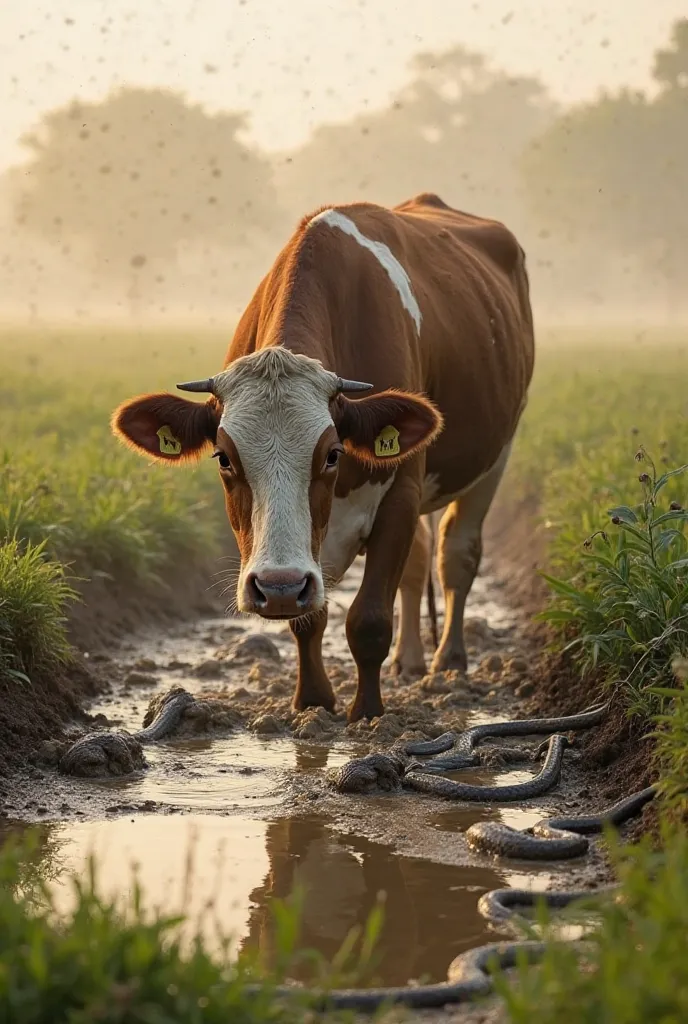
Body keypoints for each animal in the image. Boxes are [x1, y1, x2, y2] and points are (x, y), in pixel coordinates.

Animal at [110, 192, 536, 720]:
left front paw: (368, 714)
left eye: (333, 454)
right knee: (419, 561)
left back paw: (449, 662)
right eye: (224, 458)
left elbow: (369, 618)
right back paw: (411, 661)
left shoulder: (400, 492)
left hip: (497, 453)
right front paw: (312, 702)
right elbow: (309, 619)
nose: (276, 587)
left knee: (456, 553)